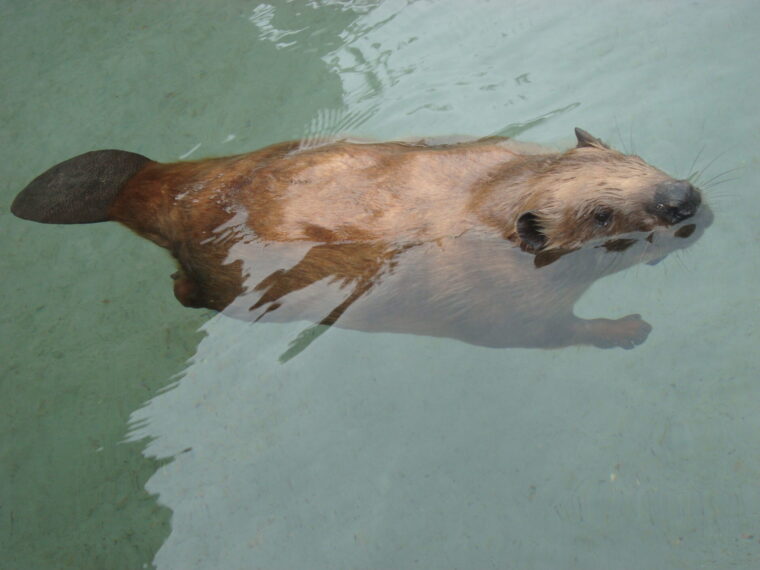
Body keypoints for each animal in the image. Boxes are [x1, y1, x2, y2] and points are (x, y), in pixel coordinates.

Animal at [13, 127, 712, 350]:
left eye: (634, 157)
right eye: (601, 217)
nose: (682, 200)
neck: (488, 202)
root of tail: (141, 182)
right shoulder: (492, 297)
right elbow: (542, 333)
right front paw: (629, 329)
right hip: (223, 278)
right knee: (191, 288)